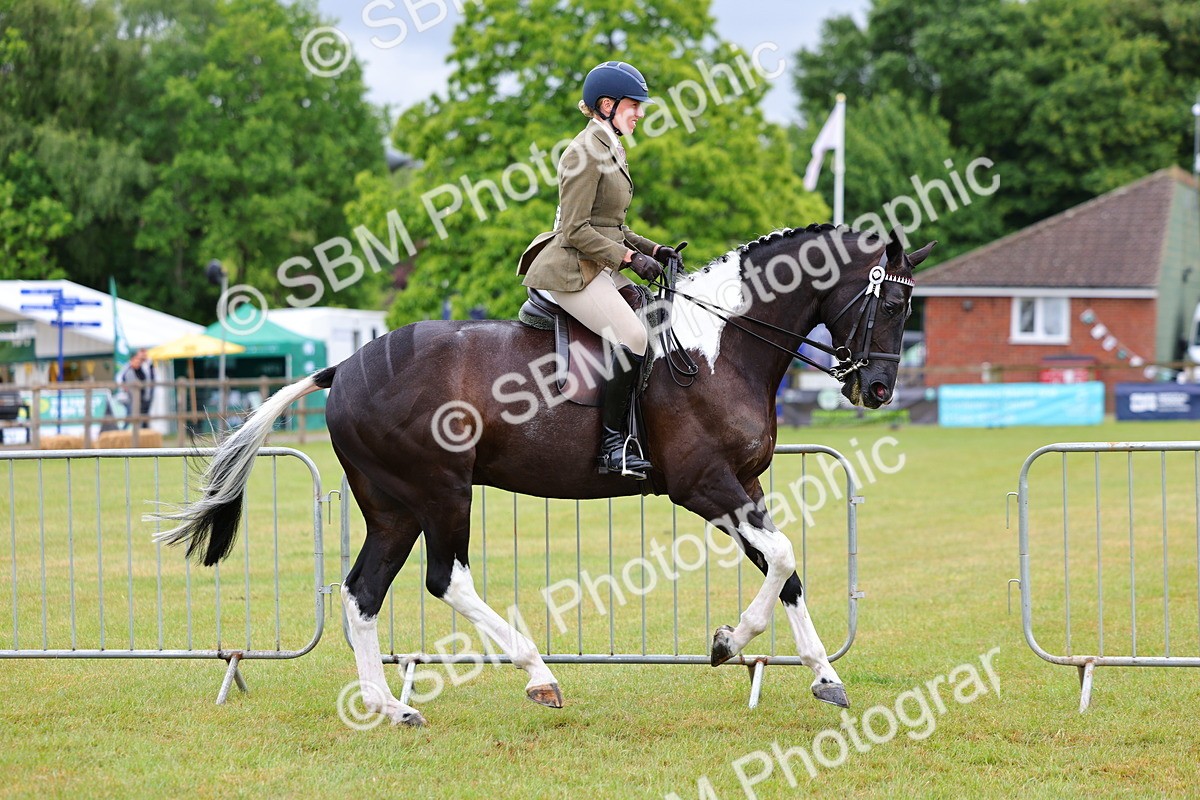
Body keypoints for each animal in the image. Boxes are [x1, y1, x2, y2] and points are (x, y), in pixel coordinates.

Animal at [155, 223, 934, 727]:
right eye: (894, 305)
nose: (878, 390)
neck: (720, 344)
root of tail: (343, 366)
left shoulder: (747, 487)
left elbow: (785, 567)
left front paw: (820, 675)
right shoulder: (705, 486)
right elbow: (783, 557)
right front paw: (729, 643)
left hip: (394, 506)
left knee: (362, 593)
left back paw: (389, 705)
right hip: (442, 490)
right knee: (447, 580)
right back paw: (539, 677)